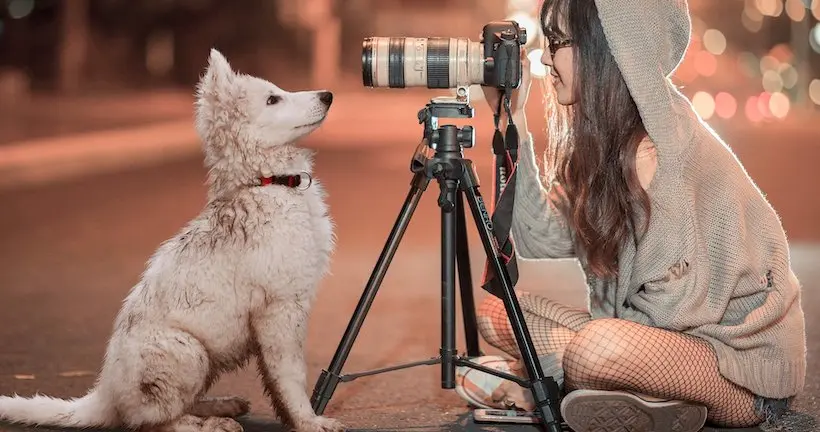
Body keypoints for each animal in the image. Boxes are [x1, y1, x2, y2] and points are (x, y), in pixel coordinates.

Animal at [0, 48, 344, 432]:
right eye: (273, 99)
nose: (328, 95)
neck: (265, 183)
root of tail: (104, 395)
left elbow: (277, 383)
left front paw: (295, 419)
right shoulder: (280, 310)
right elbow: (291, 376)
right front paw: (310, 421)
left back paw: (221, 405)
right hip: (187, 351)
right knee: (150, 420)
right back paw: (209, 423)